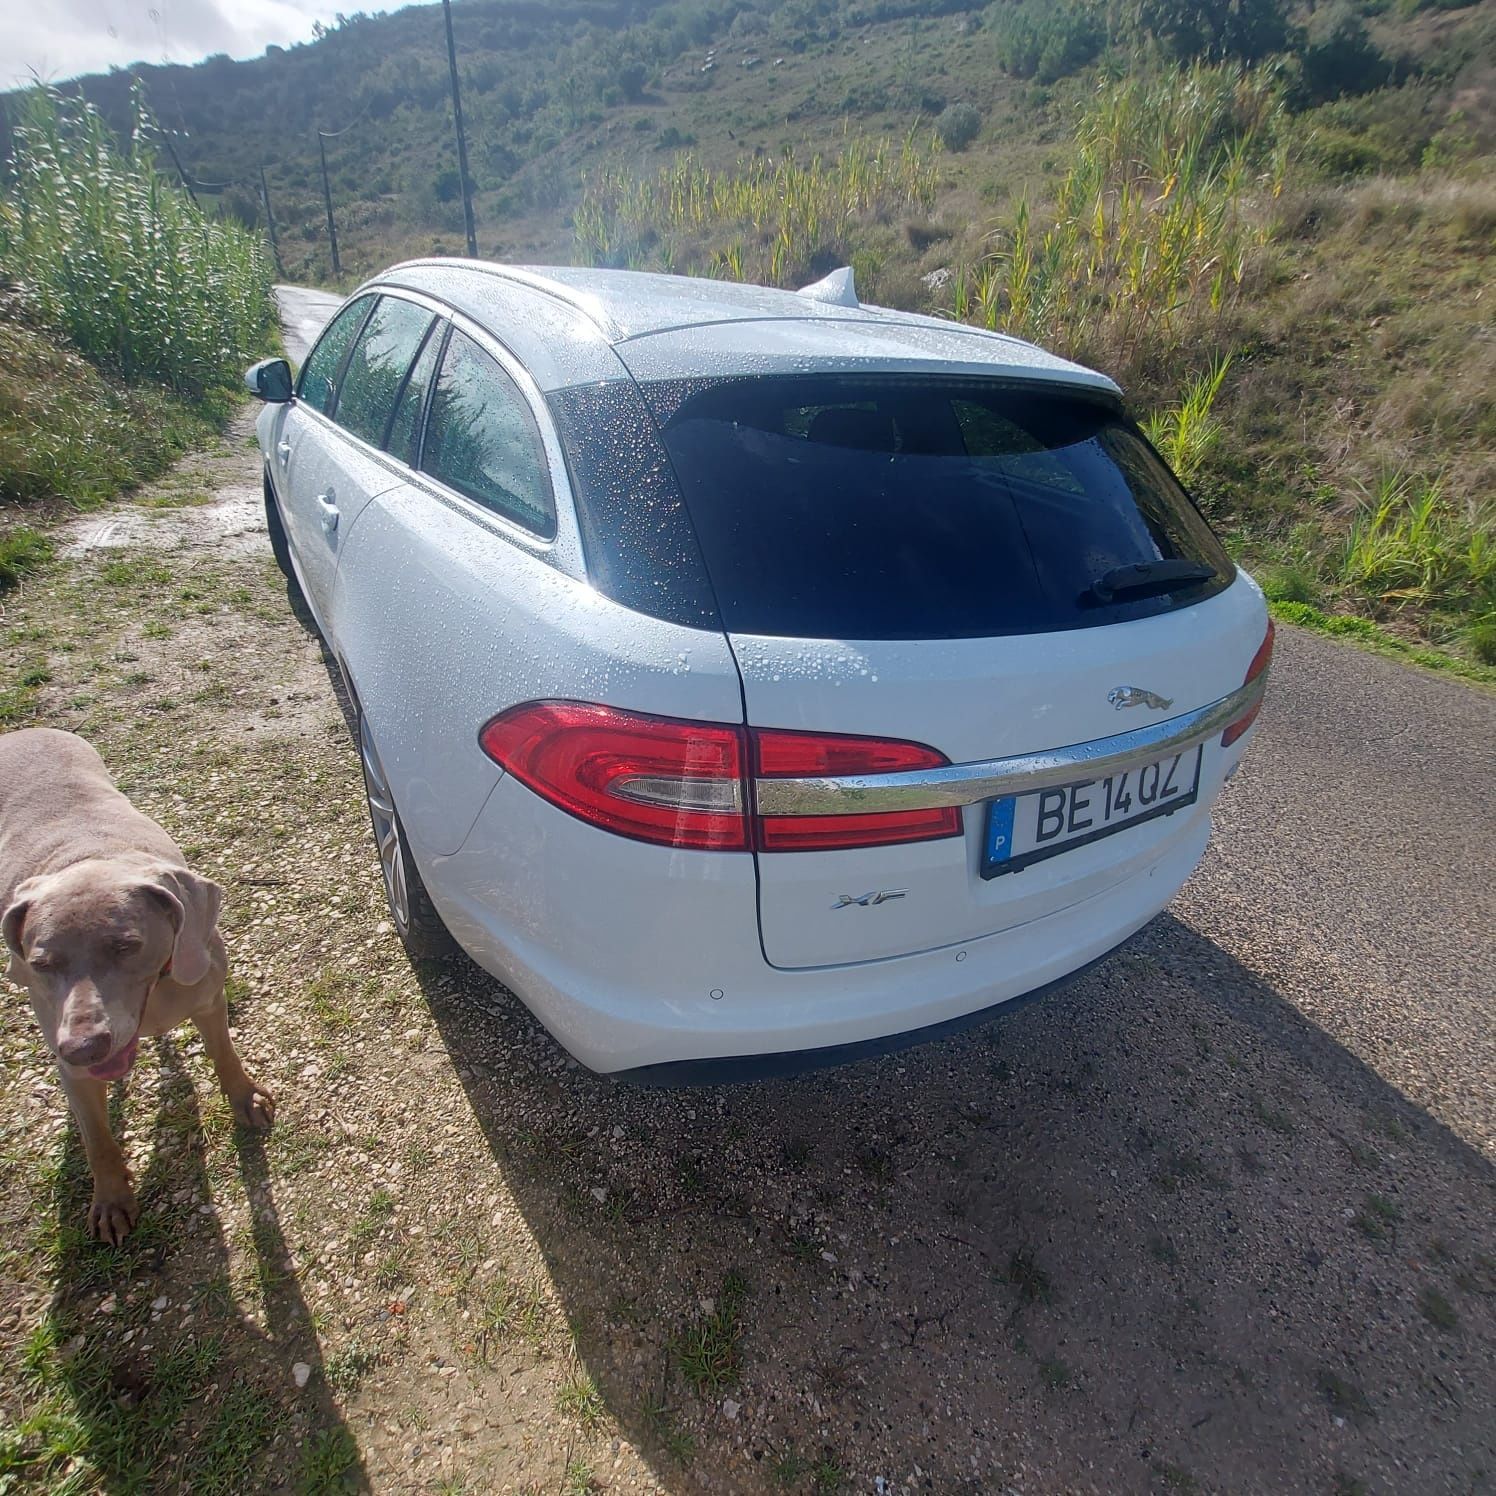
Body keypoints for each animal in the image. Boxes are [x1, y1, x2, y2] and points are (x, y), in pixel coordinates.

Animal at [0, 730, 273, 1244]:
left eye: (127, 946)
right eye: (42, 963)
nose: (83, 1046)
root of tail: (23, 731)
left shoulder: (209, 998)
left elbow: (224, 1055)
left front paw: (246, 1098)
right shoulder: (72, 1069)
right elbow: (96, 1138)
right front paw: (111, 1201)